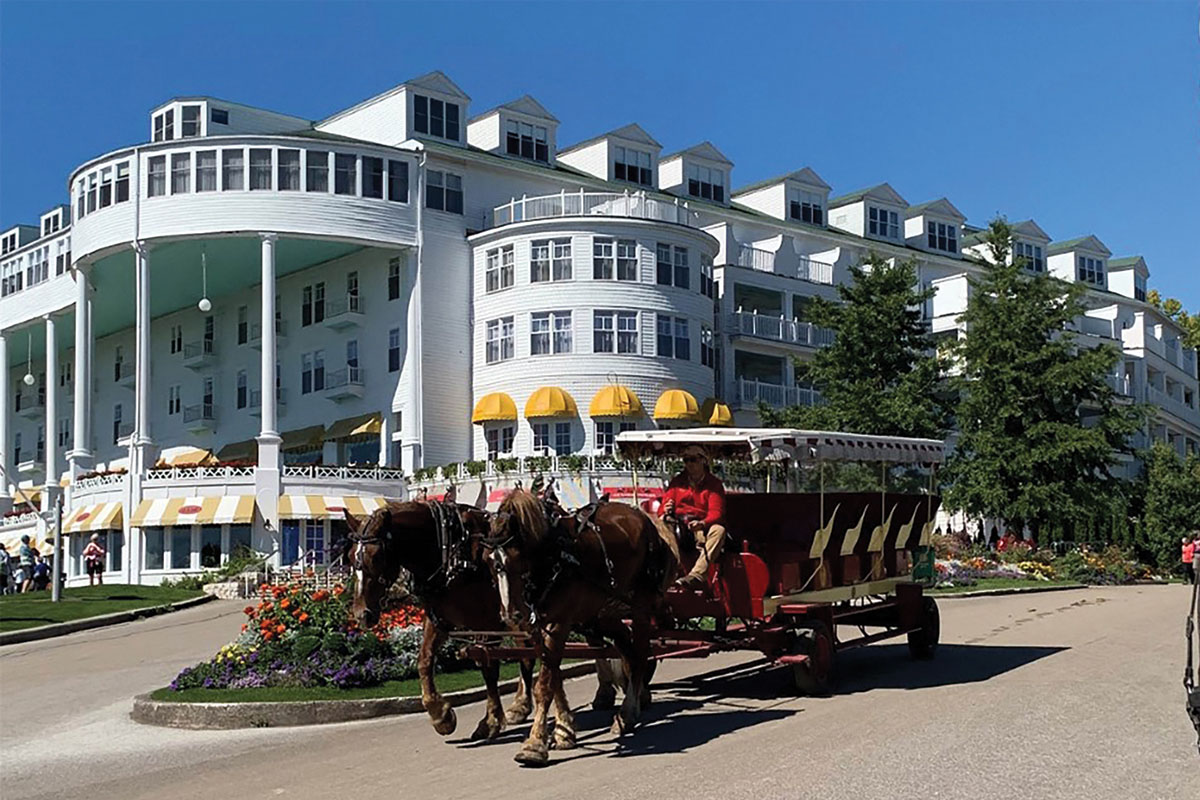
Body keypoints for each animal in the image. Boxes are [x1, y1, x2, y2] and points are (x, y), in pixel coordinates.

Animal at [484, 491, 676, 767]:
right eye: (489, 563)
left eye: (517, 558)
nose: (511, 615)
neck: (552, 557)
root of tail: (644, 517)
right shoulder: (540, 627)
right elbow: (552, 677)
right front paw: (563, 731)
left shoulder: (558, 623)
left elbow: (544, 685)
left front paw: (535, 744)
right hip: (604, 611)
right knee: (628, 652)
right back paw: (631, 707)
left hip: (640, 603)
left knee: (639, 654)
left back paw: (628, 711)